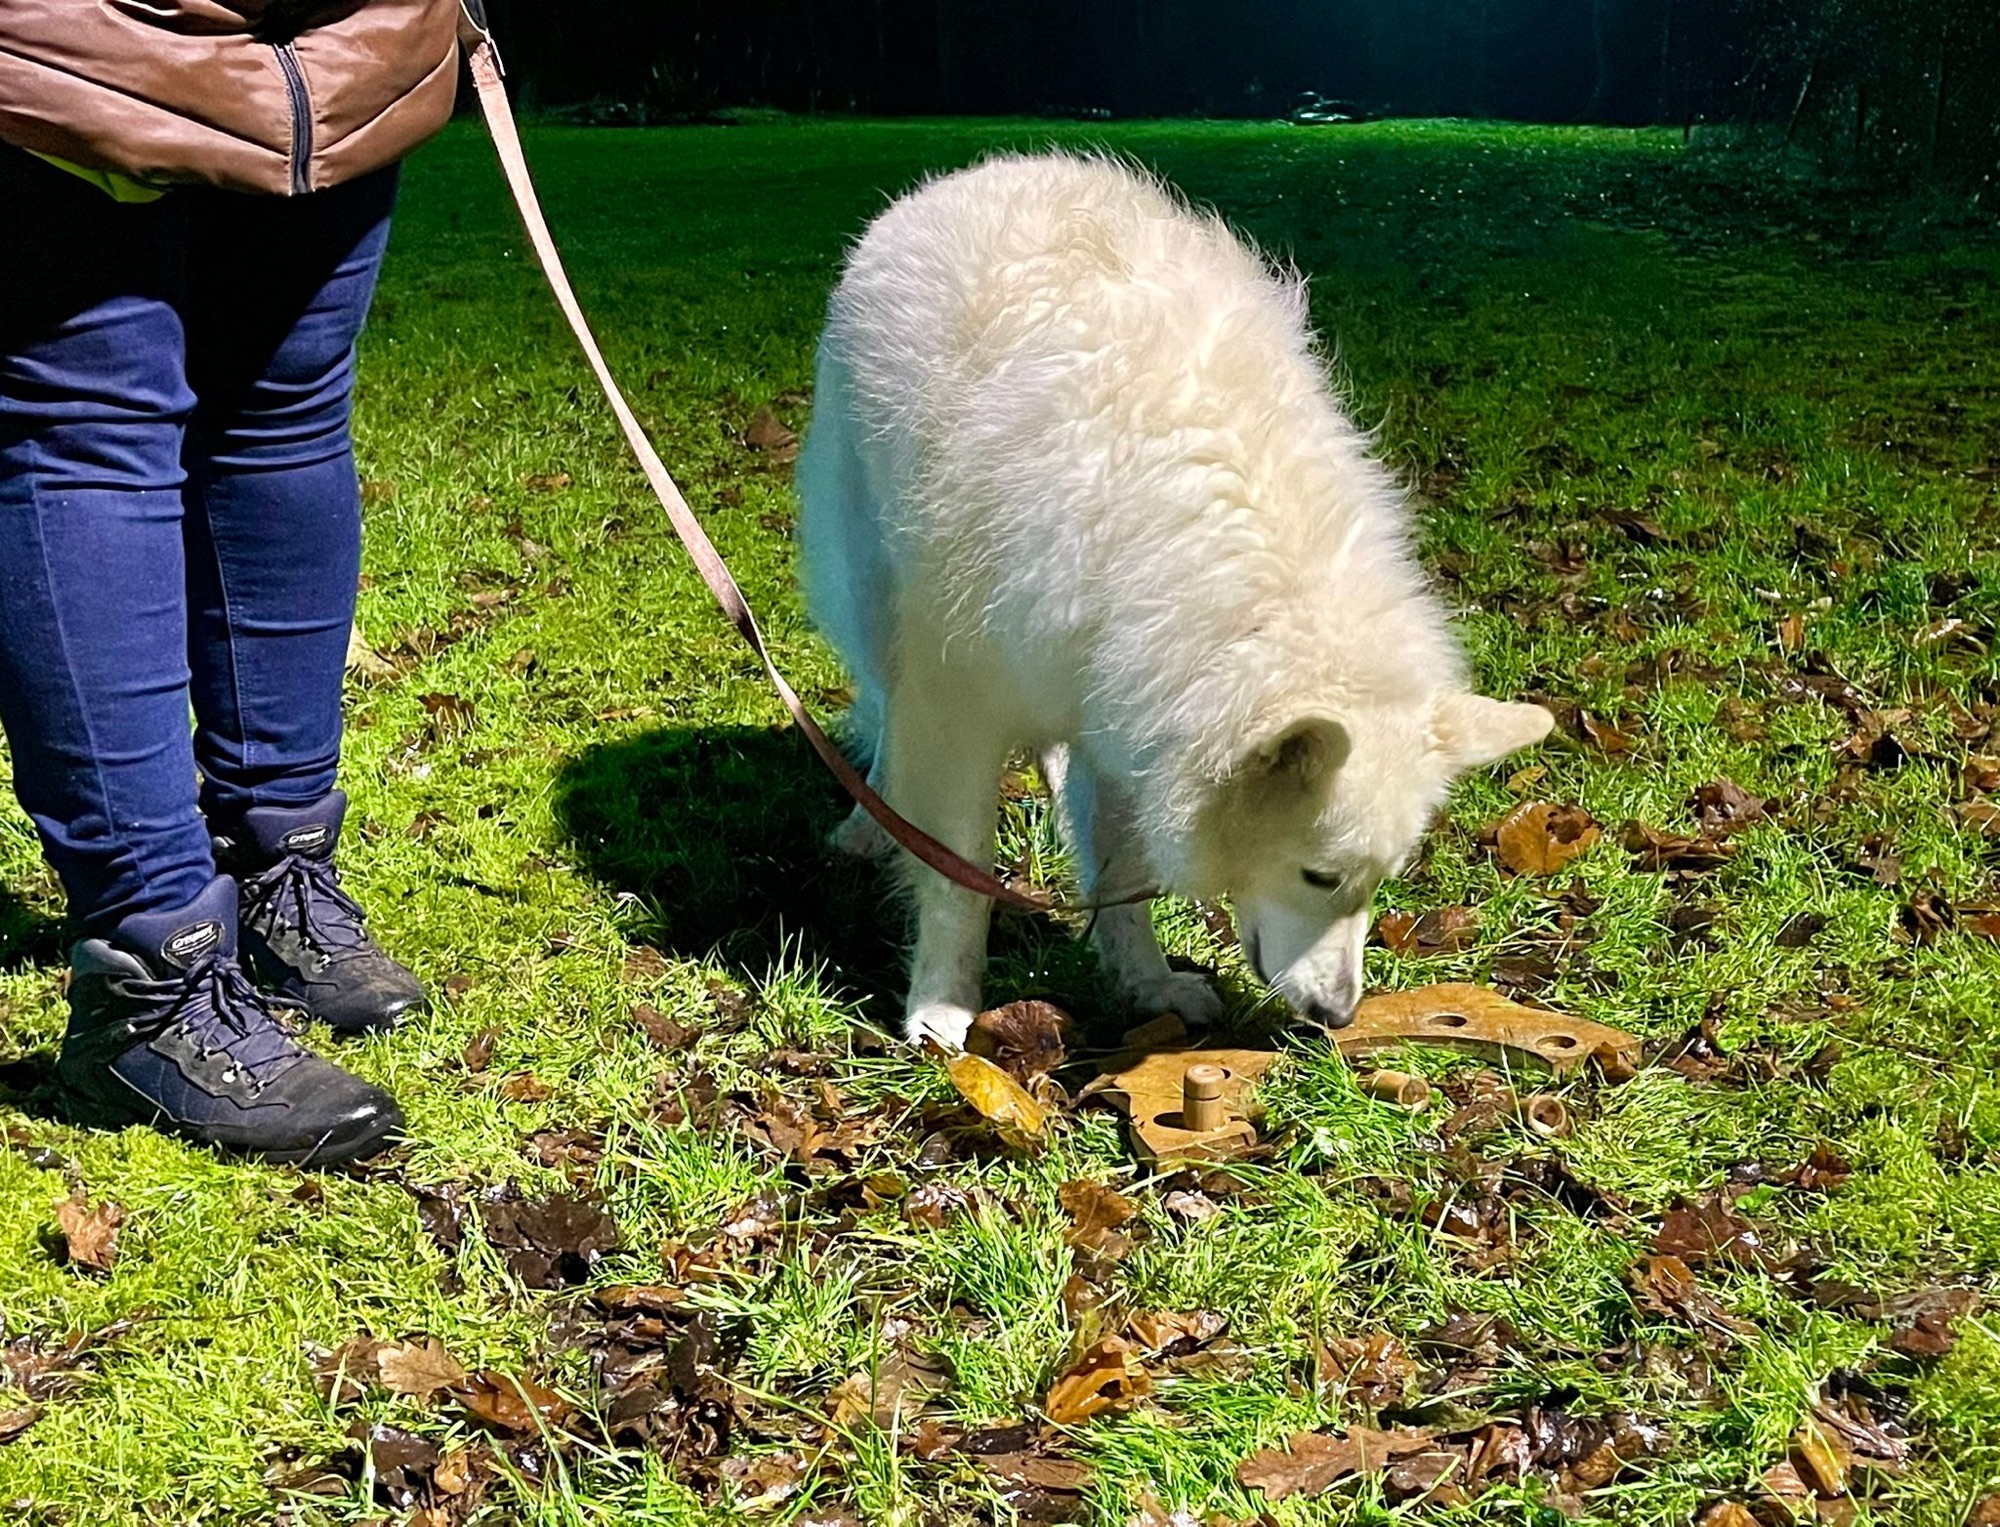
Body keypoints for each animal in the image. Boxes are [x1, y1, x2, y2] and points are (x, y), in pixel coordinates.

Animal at [795, 153, 1552, 1050]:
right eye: (1318, 875)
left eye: (1375, 884)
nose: (1337, 1016)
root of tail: (977, 172)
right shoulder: (962, 708)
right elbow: (959, 875)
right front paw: (943, 1004)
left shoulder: (1137, 705)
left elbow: (1121, 867)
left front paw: (1145, 982)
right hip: (876, 592)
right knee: (884, 710)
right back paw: (867, 823)